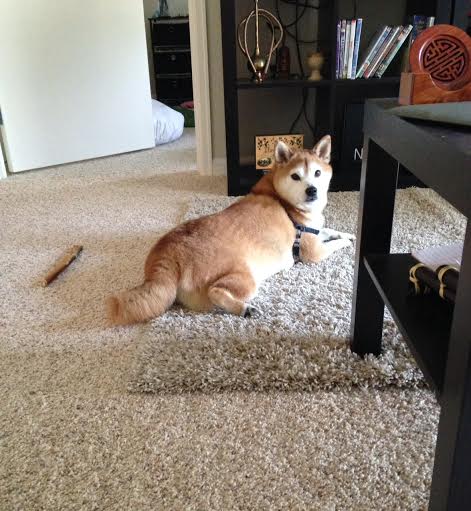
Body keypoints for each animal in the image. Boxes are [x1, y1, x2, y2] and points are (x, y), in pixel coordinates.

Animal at [107, 135, 354, 325]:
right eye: (296, 176)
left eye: (317, 173)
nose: (312, 190)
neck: (285, 203)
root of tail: (169, 253)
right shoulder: (312, 252)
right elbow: (333, 244)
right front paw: (348, 242)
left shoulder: (315, 231)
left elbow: (330, 230)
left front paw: (350, 234)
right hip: (245, 276)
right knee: (215, 291)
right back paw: (244, 309)